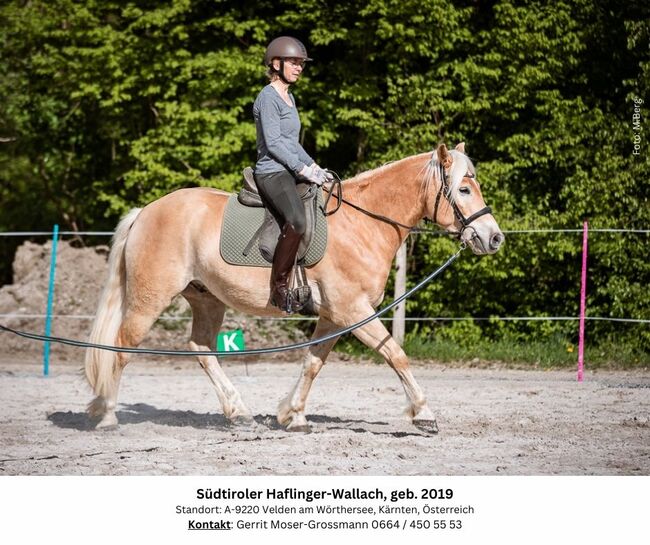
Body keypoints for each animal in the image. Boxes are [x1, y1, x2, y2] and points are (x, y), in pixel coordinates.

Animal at [83, 141, 504, 434]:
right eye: (464, 191)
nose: (494, 238)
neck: (363, 224)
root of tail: (146, 211)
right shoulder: (354, 310)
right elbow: (396, 354)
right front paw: (424, 414)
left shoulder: (335, 316)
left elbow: (313, 362)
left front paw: (293, 415)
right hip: (148, 300)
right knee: (121, 348)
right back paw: (106, 415)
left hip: (206, 299)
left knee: (201, 349)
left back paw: (239, 413)